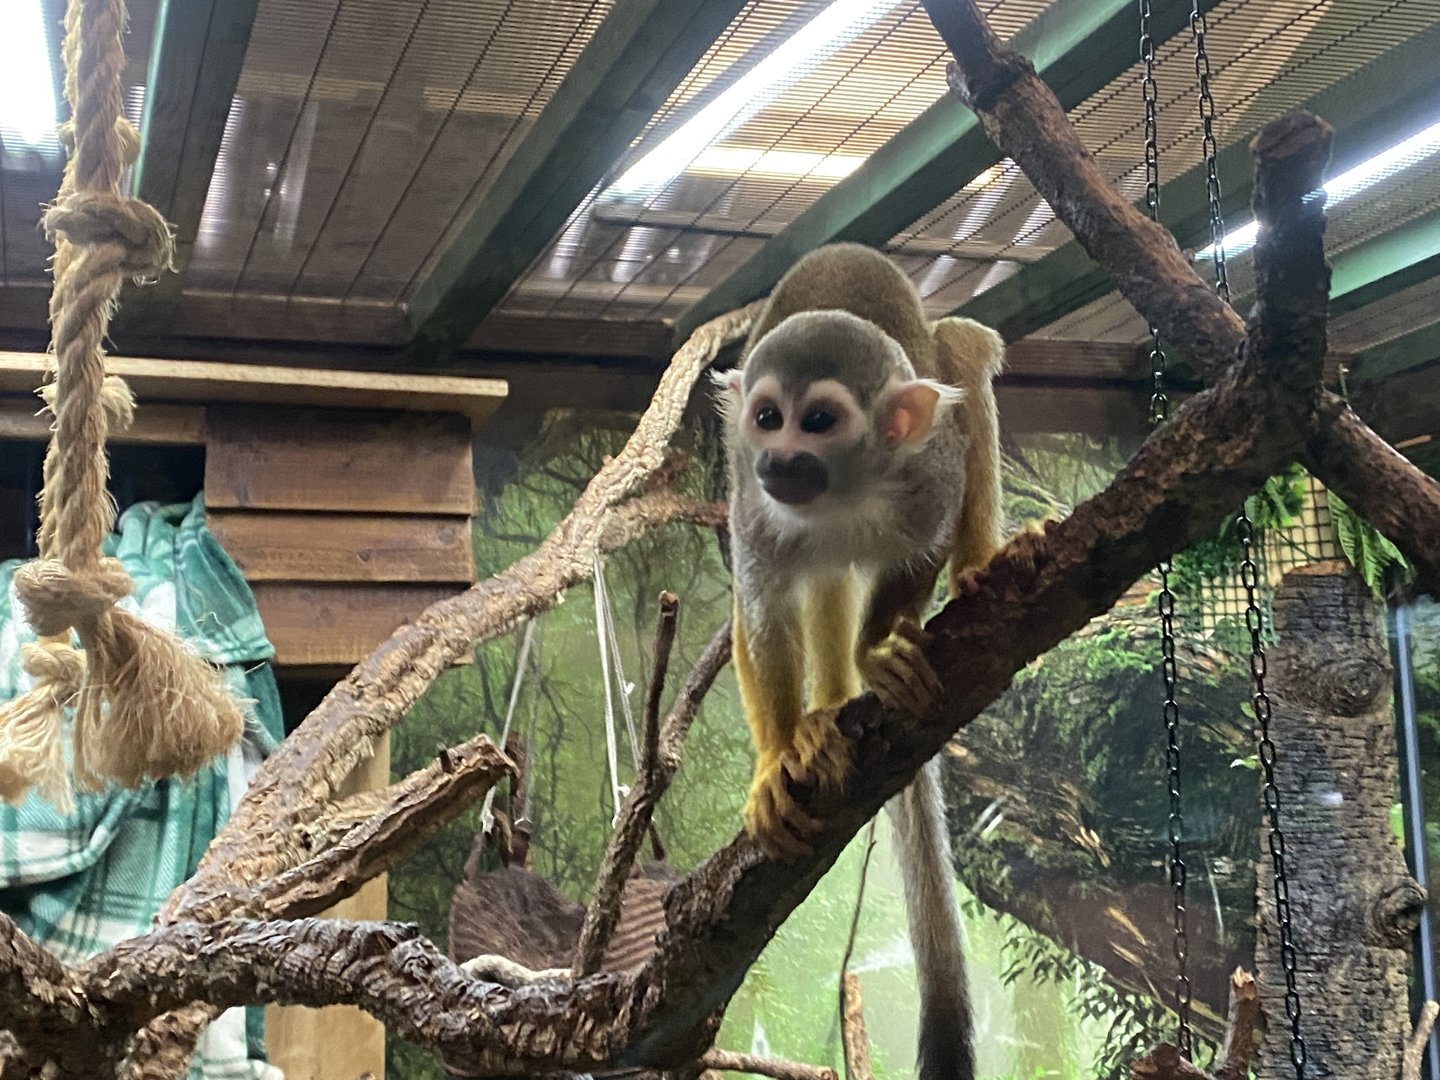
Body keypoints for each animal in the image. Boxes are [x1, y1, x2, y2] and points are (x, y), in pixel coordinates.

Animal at [714, 243, 1004, 1080]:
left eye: (818, 421)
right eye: (770, 416)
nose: (779, 456)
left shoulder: (928, 464)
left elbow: (925, 539)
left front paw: (879, 647)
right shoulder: (752, 503)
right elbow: (762, 610)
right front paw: (779, 760)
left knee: (962, 348)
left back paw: (980, 566)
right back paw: (821, 719)